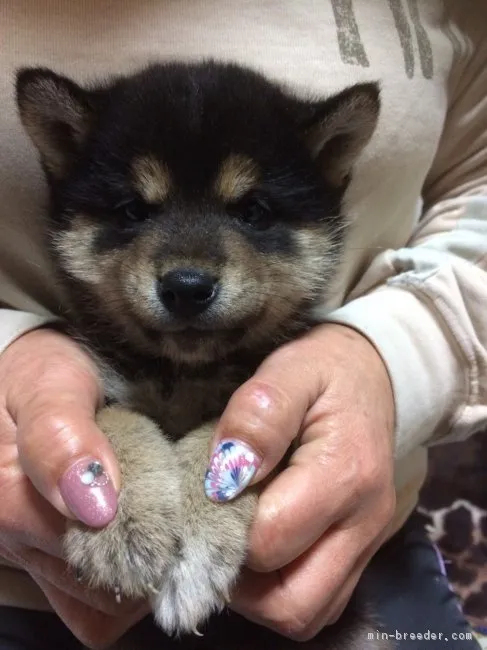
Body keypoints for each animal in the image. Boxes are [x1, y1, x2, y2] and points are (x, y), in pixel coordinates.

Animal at [16, 62, 392, 648]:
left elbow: (217, 438)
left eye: (253, 211)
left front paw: (192, 549)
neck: (183, 373)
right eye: (133, 210)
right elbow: (116, 423)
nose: (187, 288)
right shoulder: (108, 379)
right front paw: (120, 523)